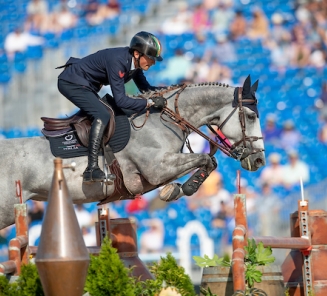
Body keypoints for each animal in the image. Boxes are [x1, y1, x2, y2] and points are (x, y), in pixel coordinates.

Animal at [0, 75, 266, 230]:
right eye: (251, 116)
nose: (259, 160)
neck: (162, 119)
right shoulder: (157, 168)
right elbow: (206, 159)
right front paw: (182, 189)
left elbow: (208, 161)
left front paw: (177, 189)